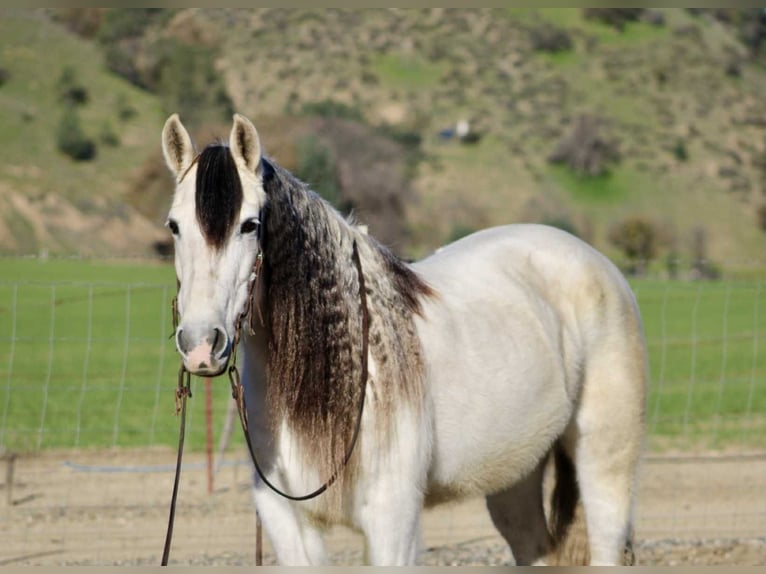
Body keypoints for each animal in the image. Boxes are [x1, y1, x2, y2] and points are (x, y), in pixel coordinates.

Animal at [161, 113, 647, 566]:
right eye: (174, 226)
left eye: (249, 225)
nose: (201, 344)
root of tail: (596, 261)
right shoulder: (288, 523)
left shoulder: (392, 519)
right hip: (516, 475)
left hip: (603, 462)